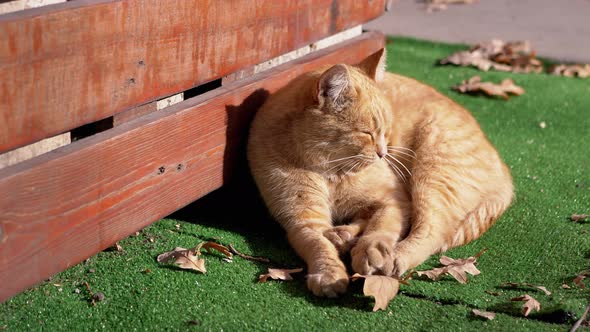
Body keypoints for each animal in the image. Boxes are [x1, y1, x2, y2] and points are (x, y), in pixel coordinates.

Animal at [247, 48, 516, 298]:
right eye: (366, 133)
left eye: (386, 131)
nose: (383, 153)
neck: (330, 173)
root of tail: (504, 169)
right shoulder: (302, 220)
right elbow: (318, 245)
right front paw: (329, 274)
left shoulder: (394, 201)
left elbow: (381, 227)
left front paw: (372, 250)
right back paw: (342, 236)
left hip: (432, 175)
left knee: (430, 231)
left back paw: (393, 256)